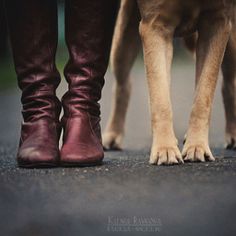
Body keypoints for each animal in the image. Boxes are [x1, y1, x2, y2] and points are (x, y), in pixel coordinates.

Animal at [103, 0, 236, 166]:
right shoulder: (155, 26)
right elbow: (161, 99)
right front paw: (165, 149)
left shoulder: (218, 22)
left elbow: (203, 95)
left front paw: (196, 145)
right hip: (123, 38)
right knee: (123, 85)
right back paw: (113, 135)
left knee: (229, 83)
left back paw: (232, 133)